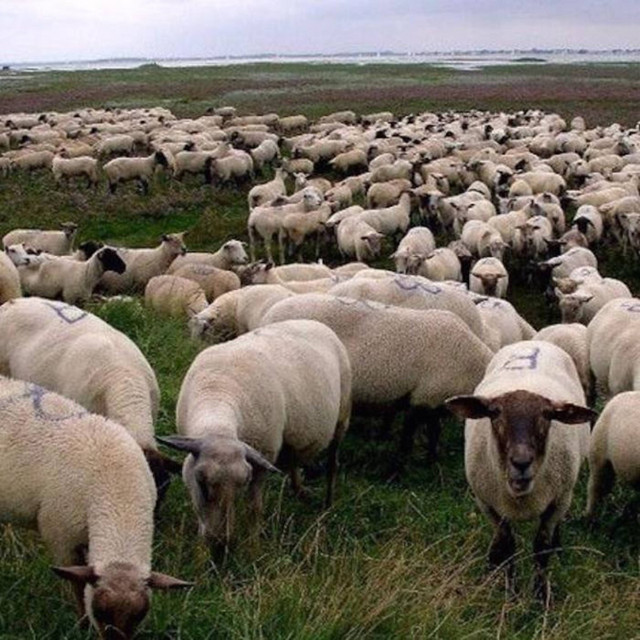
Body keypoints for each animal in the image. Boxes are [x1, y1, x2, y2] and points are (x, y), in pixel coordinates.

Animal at [261, 293, 493, 464]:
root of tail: (268, 316)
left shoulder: (435, 403)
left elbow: (434, 432)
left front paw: (431, 461)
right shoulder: (423, 399)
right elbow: (408, 438)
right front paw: (399, 468)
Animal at [446, 341, 595, 599]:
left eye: (548, 415)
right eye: (494, 413)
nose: (521, 462)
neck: (520, 497)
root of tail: (533, 342)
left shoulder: (558, 501)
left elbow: (542, 549)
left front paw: (540, 596)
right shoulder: (488, 504)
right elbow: (507, 546)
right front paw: (510, 593)